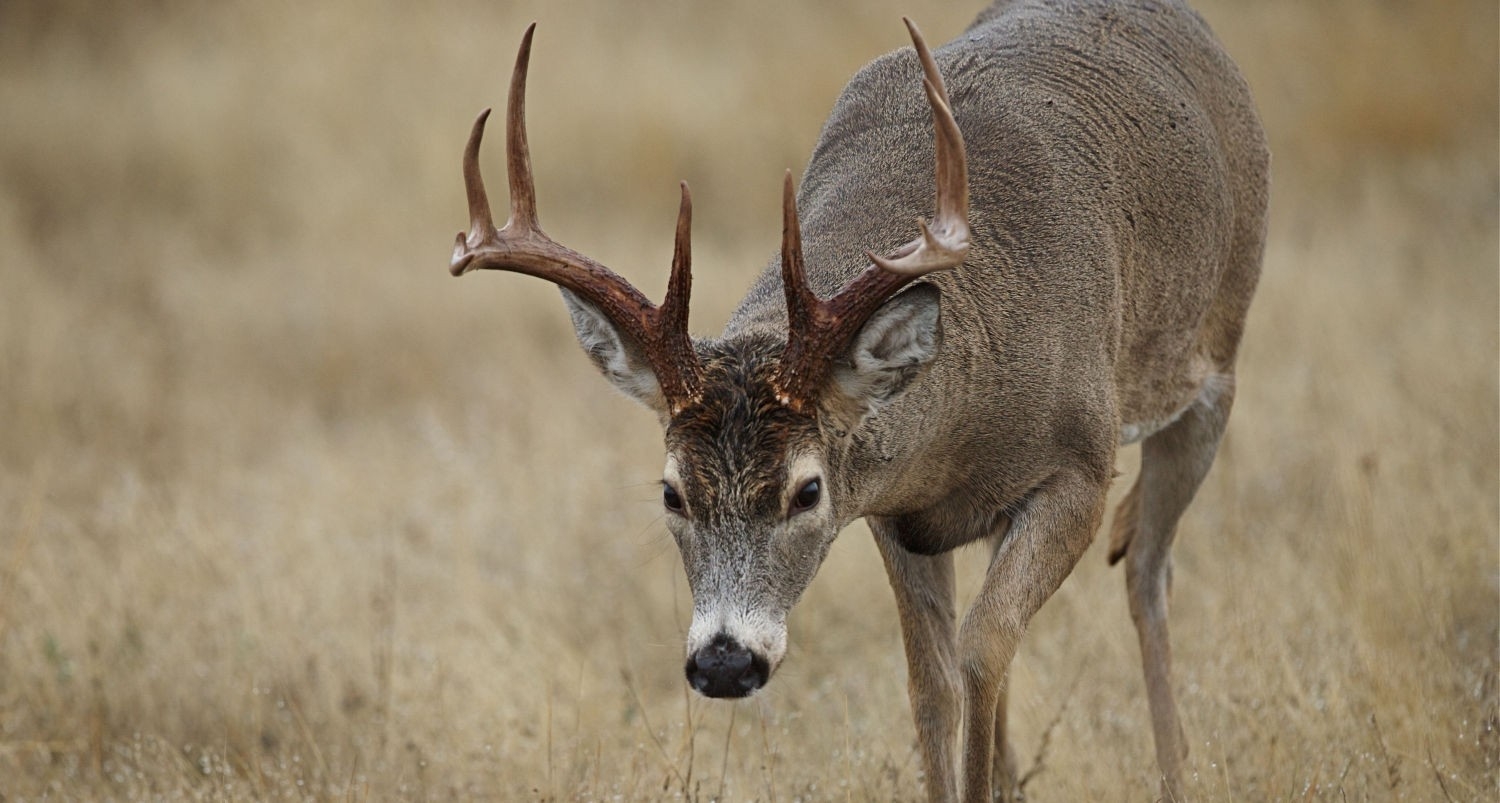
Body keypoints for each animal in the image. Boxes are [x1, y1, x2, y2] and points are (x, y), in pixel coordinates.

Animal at [447, 3, 1266, 798]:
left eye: (807, 491)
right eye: (672, 492)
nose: (724, 664)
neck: (963, 427)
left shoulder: (1081, 468)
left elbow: (984, 647)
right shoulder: (895, 512)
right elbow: (932, 682)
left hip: (1214, 368)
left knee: (1148, 569)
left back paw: (1175, 772)